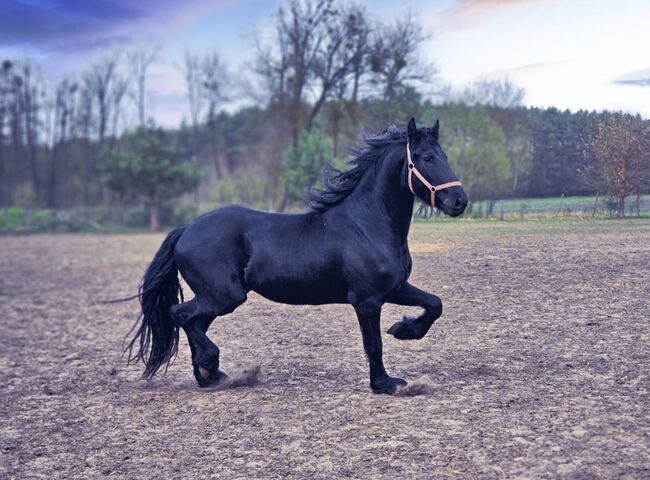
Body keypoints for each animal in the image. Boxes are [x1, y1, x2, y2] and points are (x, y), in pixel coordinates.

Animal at [126, 117, 466, 394]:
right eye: (426, 157)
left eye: (446, 156)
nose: (460, 201)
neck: (367, 223)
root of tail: (186, 229)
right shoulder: (367, 300)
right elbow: (374, 344)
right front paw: (384, 384)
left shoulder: (394, 289)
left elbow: (434, 305)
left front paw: (404, 330)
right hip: (224, 296)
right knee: (180, 315)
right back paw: (213, 368)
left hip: (217, 298)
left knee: (193, 322)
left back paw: (210, 375)